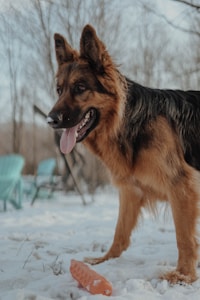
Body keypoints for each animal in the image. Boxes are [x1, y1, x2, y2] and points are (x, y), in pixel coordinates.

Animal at [47, 24, 200, 284]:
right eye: (59, 90)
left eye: (80, 88)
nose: (51, 120)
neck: (129, 121)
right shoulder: (131, 190)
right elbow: (119, 232)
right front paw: (103, 261)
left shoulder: (182, 187)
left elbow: (184, 238)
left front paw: (183, 275)